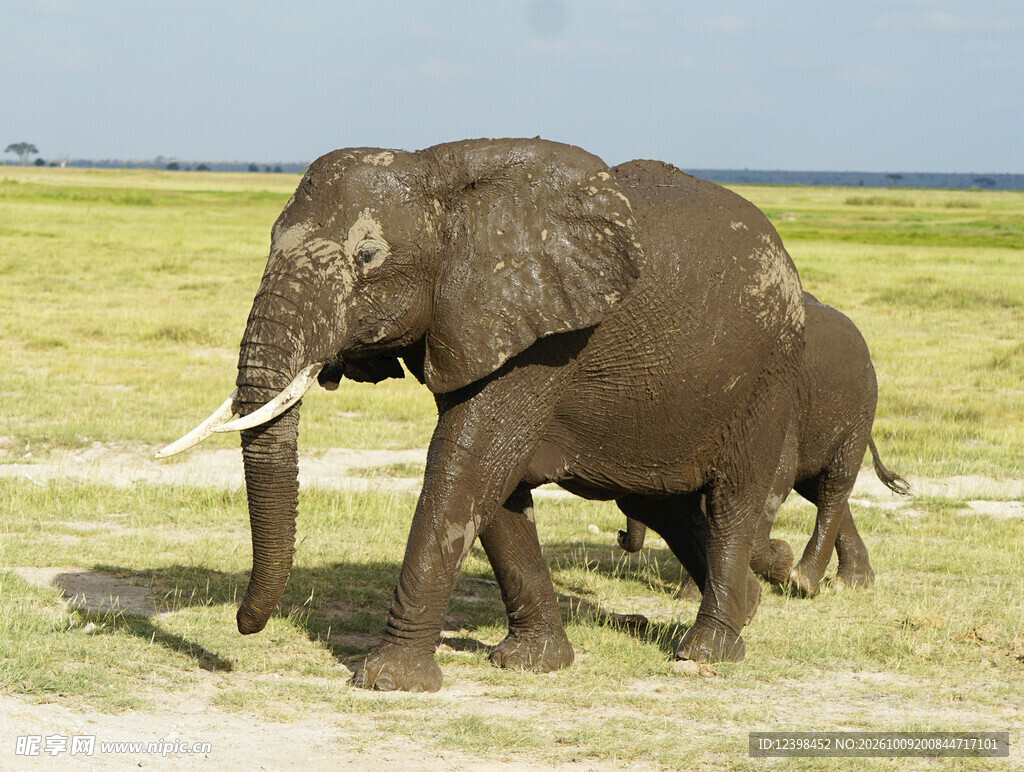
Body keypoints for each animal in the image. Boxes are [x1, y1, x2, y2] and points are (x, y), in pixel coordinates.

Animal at [158, 140, 806, 692]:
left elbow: (469, 462)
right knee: (662, 502)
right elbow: (495, 485)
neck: (434, 172)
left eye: (367, 258)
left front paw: (388, 682)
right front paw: (532, 664)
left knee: (733, 502)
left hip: (769, 375)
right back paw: (749, 605)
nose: (243, 627)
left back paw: (707, 651)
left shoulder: (546, 337)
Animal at [617, 292, 910, 596]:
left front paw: (777, 562)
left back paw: (804, 580)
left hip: (861, 409)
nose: (621, 535)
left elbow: (773, 476)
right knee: (814, 487)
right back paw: (851, 582)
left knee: (834, 484)